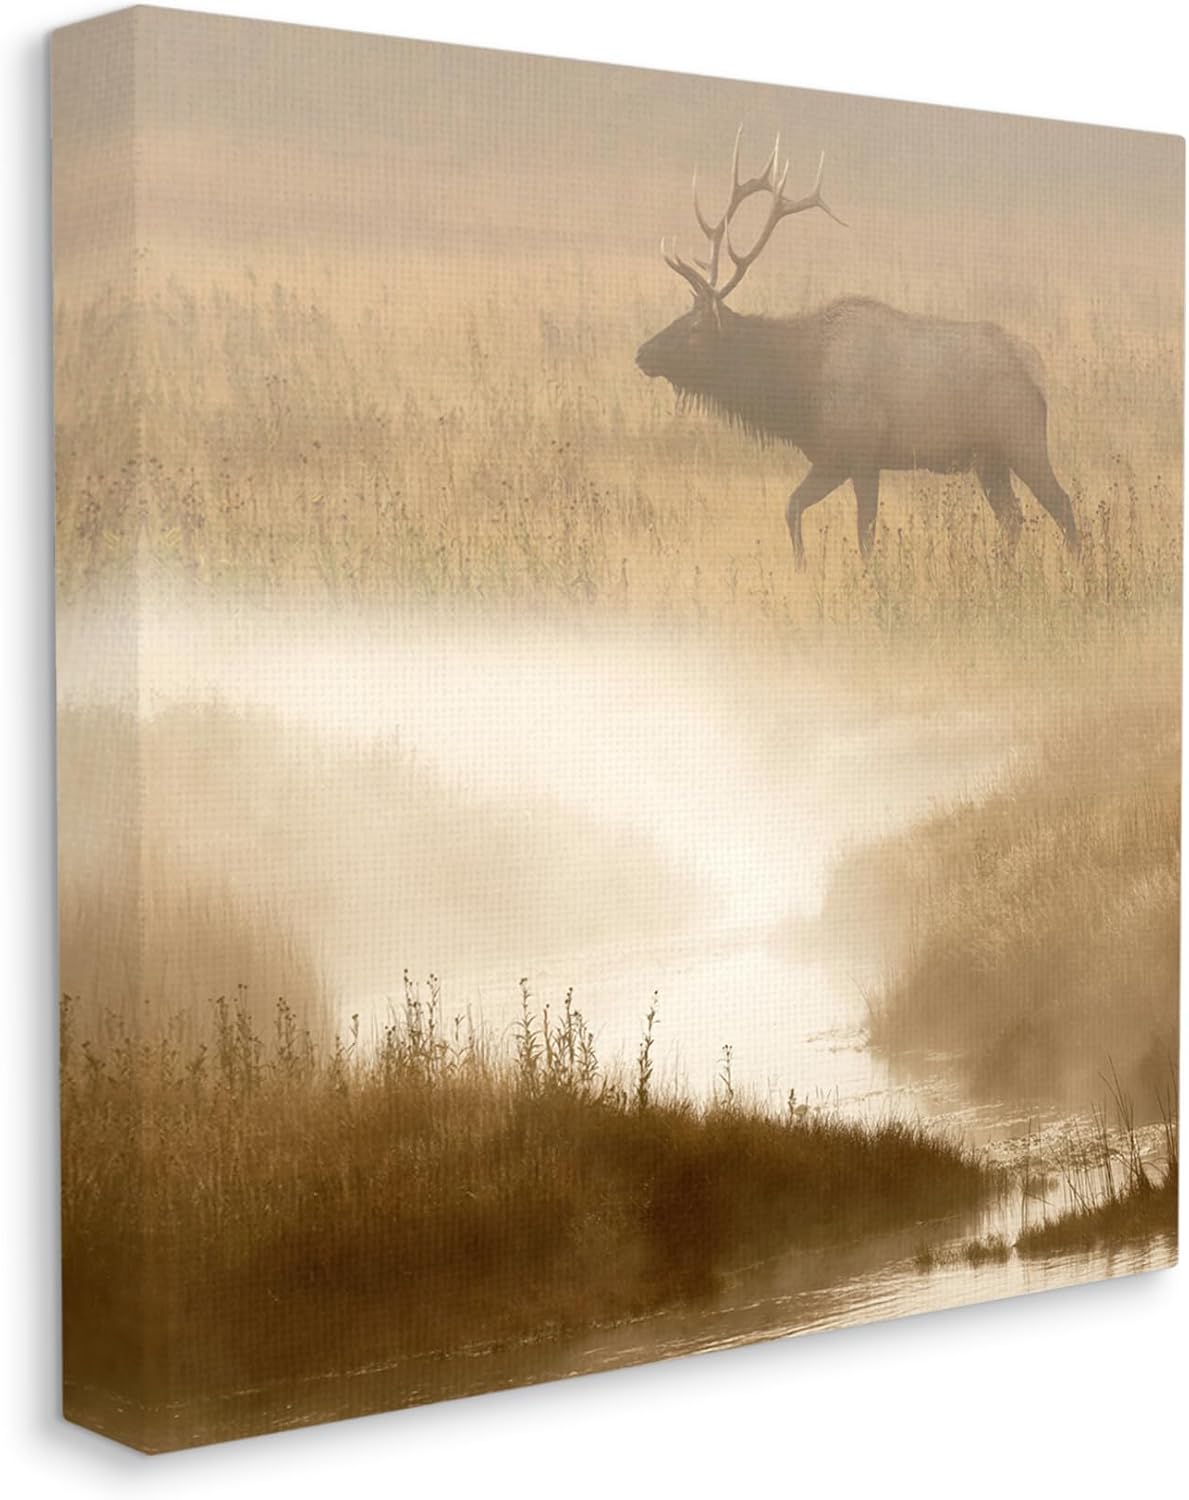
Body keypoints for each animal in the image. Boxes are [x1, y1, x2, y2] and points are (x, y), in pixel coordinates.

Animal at [635, 130, 1080, 566]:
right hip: (989, 459)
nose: (641, 353)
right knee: (1013, 517)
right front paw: (802, 566)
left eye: (695, 328)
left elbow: (865, 535)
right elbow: (792, 507)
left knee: (1062, 505)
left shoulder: (864, 453)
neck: (798, 391)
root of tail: (1037, 369)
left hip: (1022, 439)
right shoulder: (830, 457)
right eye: (681, 315)